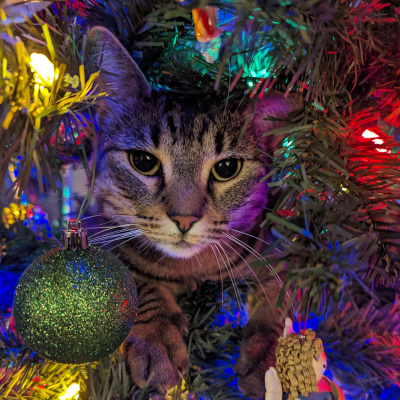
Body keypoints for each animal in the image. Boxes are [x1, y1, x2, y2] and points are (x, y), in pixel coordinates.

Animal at [89, 26, 298, 398]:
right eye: (143, 162)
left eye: (227, 169)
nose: (184, 219)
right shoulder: (96, 231)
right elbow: (134, 281)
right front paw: (157, 340)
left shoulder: (280, 246)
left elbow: (277, 298)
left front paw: (270, 360)